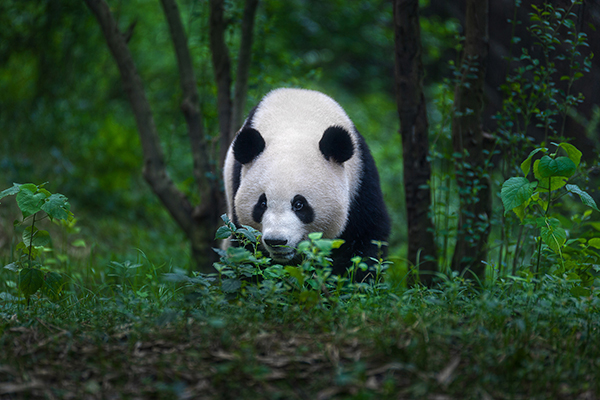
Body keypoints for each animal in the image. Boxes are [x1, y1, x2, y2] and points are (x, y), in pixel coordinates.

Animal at [223, 88, 392, 278]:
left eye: (299, 204)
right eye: (262, 203)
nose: (276, 241)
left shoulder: (361, 181)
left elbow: (365, 241)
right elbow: (246, 249)